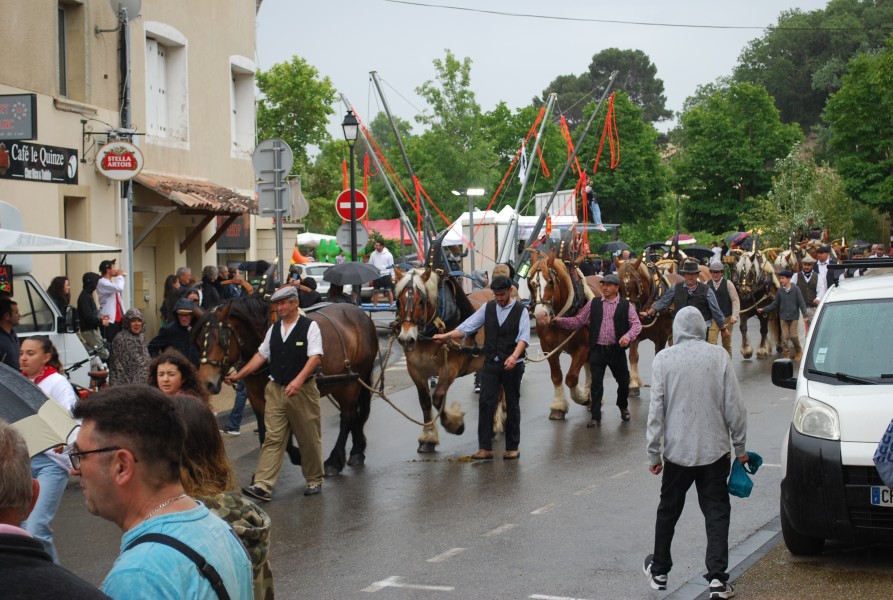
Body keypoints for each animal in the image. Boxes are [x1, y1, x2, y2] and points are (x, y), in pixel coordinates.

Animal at [193, 294, 378, 474]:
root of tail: (360, 314)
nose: (206, 383)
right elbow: (265, 433)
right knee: (353, 414)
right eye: (200, 340)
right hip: (340, 384)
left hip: (351, 383)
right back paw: (356, 451)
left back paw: (334, 461)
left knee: (347, 416)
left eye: (222, 339)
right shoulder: (256, 397)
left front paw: (299, 456)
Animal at [524, 251, 600, 420]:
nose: (541, 316)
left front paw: (582, 397)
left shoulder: (582, 348)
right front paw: (559, 406)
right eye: (530, 284)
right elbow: (556, 376)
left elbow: (571, 378)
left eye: (551, 282)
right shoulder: (548, 348)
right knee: (589, 367)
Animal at [612, 256, 676, 394]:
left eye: (636, 283)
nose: (629, 310)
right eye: (618, 285)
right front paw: (634, 384)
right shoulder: (633, 333)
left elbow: (658, 355)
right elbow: (633, 356)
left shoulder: (661, 336)